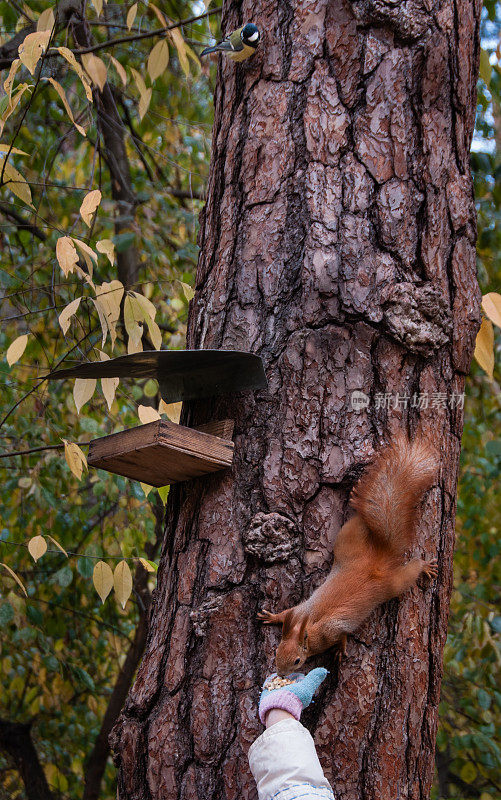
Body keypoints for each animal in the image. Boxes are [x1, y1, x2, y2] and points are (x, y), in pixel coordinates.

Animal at [258, 438, 438, 676]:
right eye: (276, 651)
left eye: (297, 661)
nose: (280, 673)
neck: (307, 626)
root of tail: (376, 561)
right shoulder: (298, 610)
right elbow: (286, 611)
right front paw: (271, 616)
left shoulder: (329, 632)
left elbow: (341, 635)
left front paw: (341, 649)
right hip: (348, 541)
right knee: (359, 520)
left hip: (393, 583)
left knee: (411, 570)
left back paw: (425, 566)